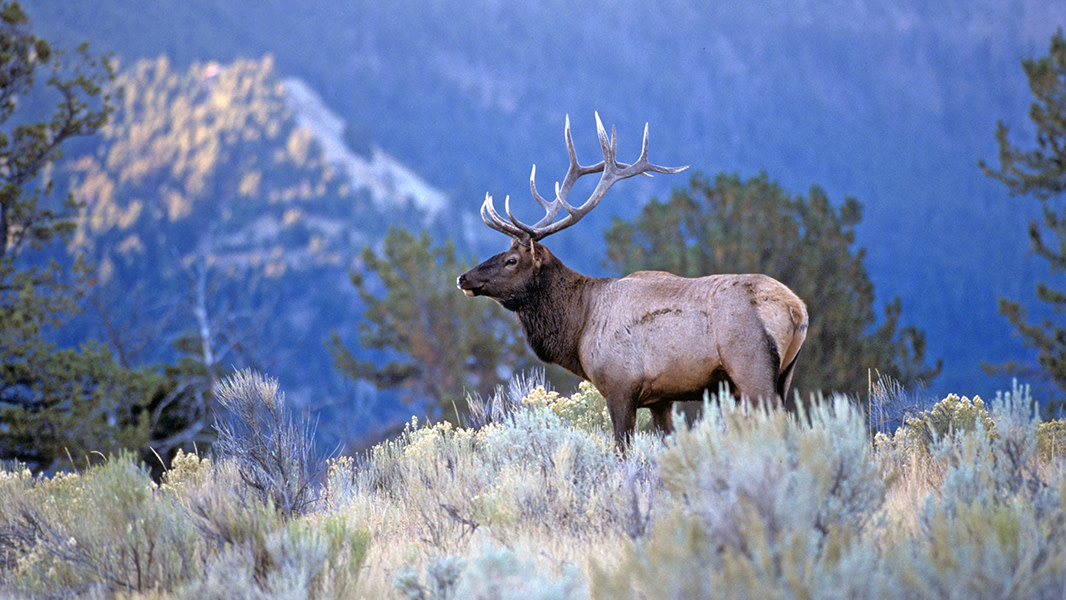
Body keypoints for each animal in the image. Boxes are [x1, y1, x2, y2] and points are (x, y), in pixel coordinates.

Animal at [457, 113, 808, 445]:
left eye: (511, 260)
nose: (463, 278)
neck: (580, 327)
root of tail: (797, 309)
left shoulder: (620, 385)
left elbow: (621, 447)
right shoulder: (661, 398)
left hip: (751, 367)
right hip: (785, 375)